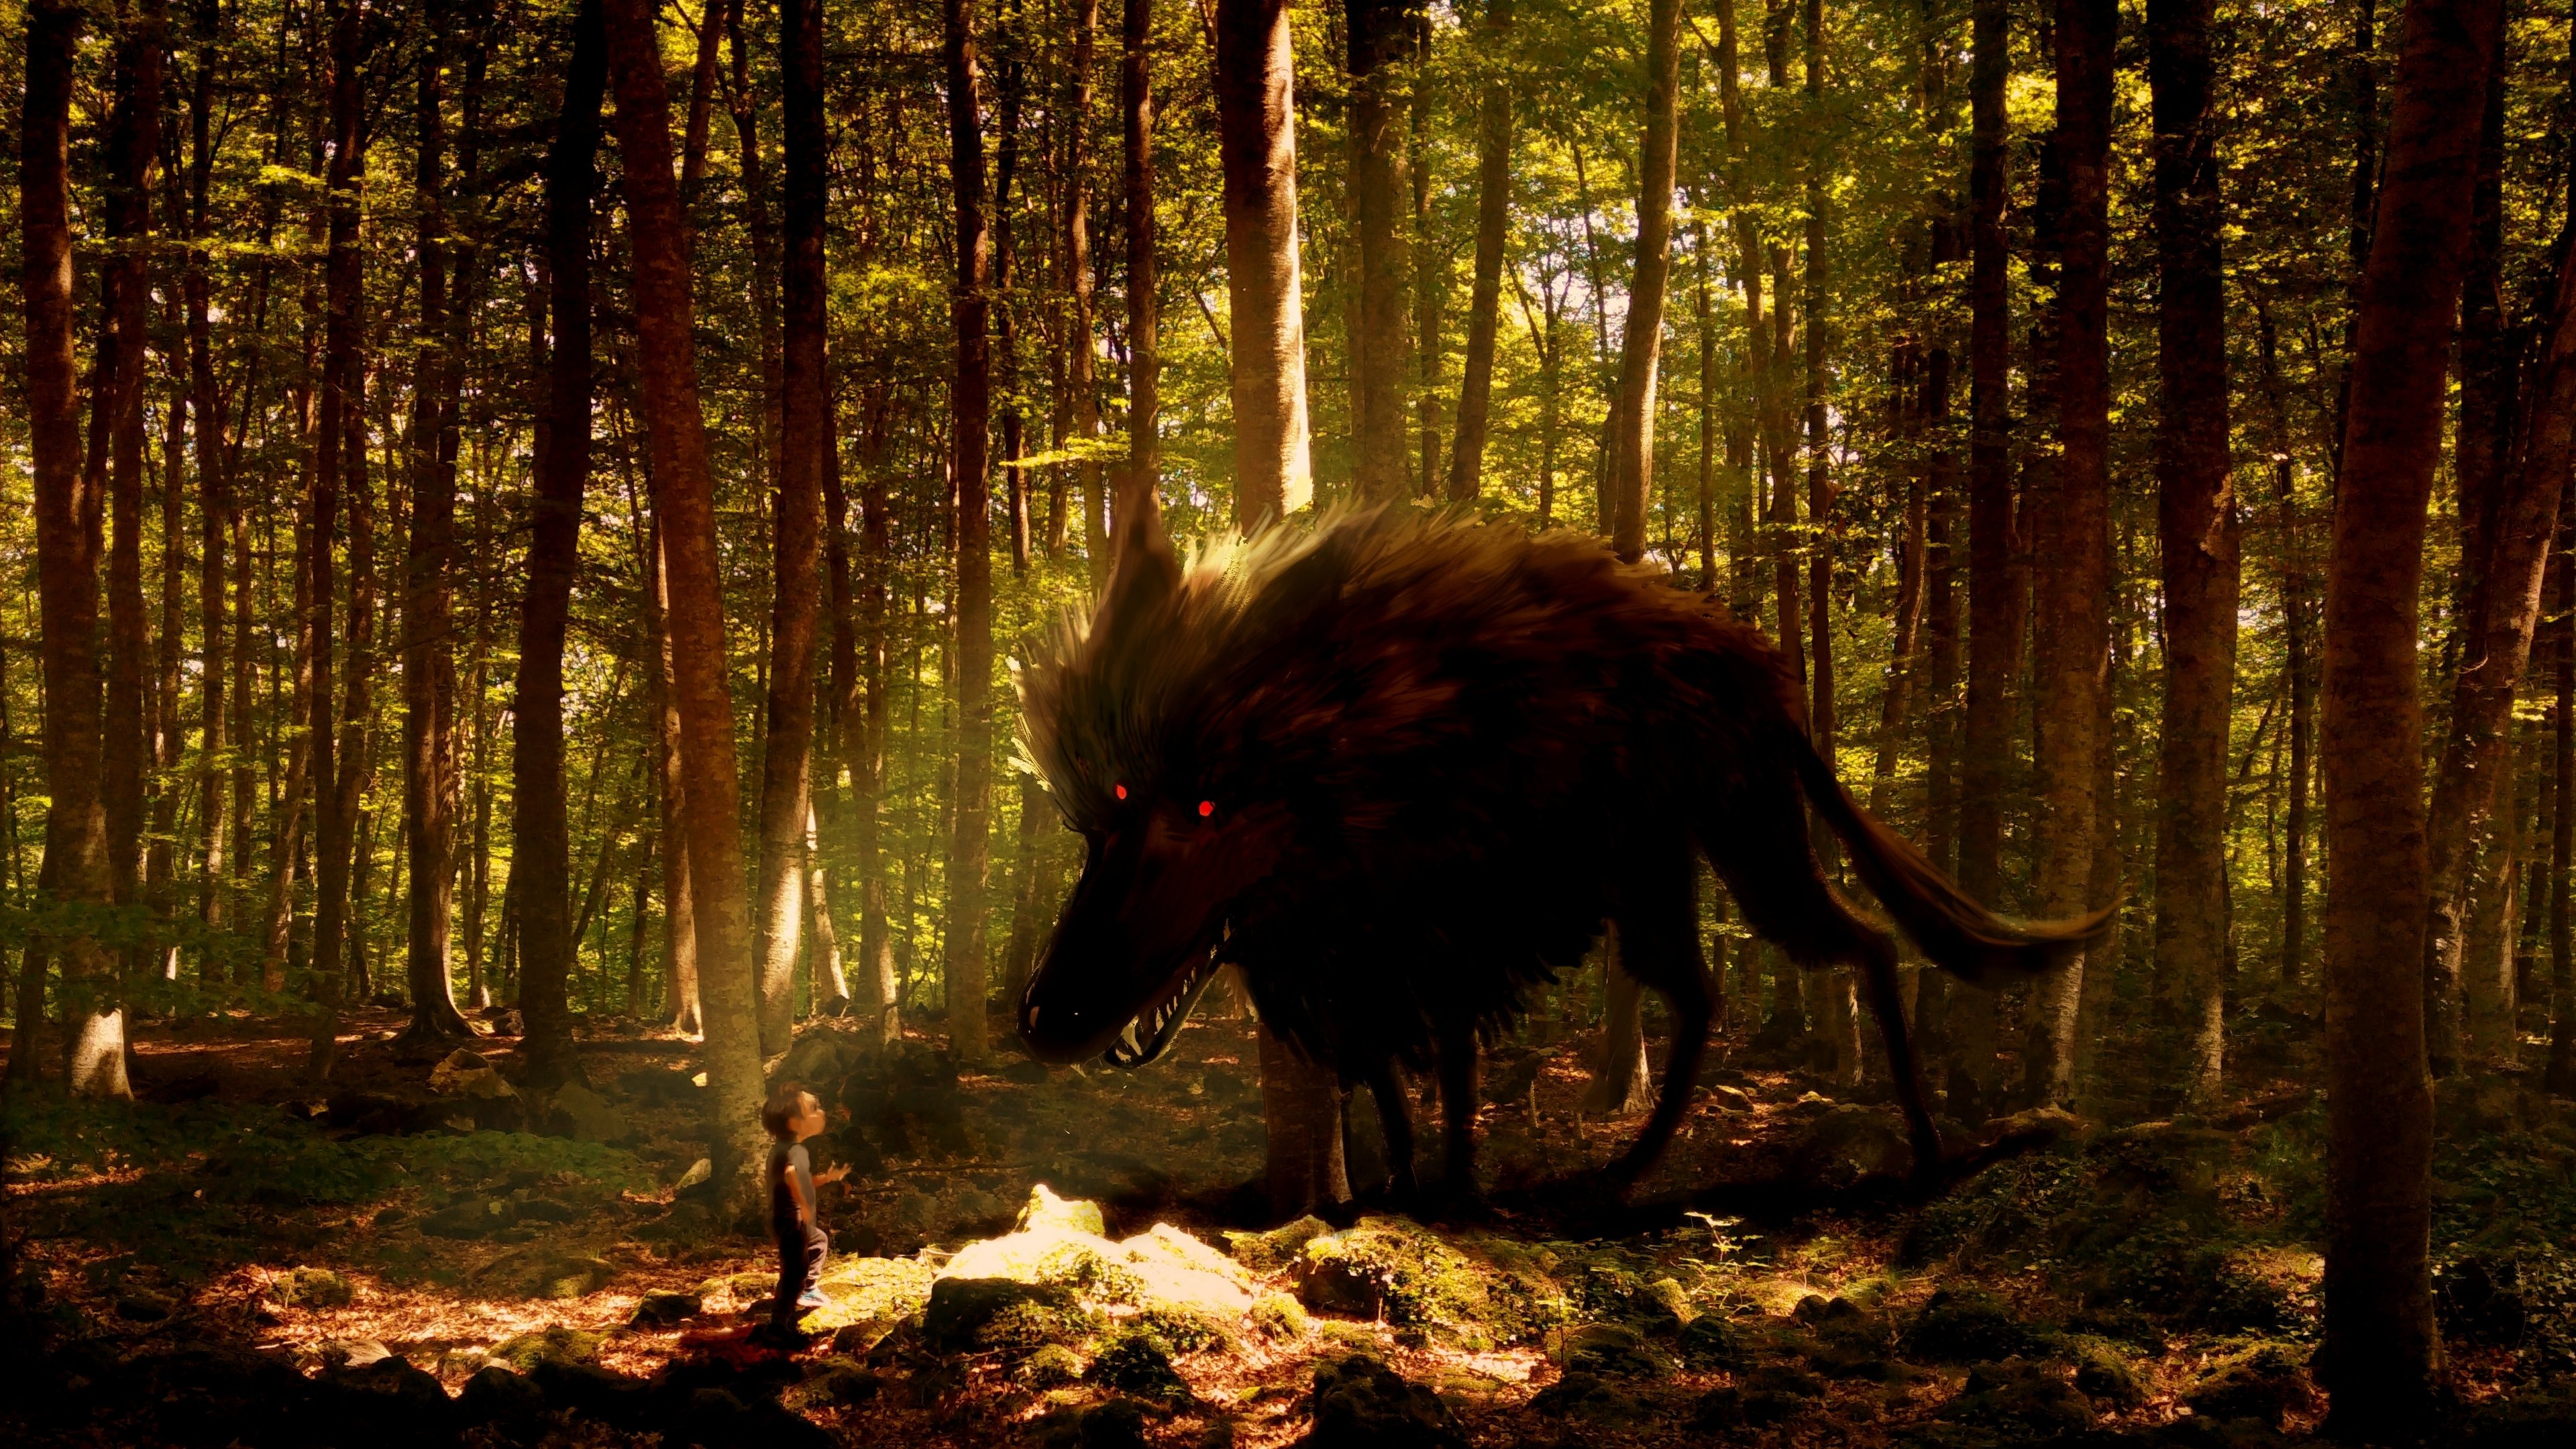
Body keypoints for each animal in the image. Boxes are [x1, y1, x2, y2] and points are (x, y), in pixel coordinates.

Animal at [1015, 506, 2107, 1194]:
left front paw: (1449, 1197)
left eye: (1205, 805)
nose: (1043, 1019)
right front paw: (1393, 1191)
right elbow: (1390, 1089)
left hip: (1740, 842)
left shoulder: (1445, 944)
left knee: (1862, 946)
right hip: (1665, 869)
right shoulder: (1372, 967)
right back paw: (1625, 1173)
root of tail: (1770, 678)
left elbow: (1448, 1081)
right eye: (1105, 810)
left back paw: (1918, 1155)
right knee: (1708, 988)